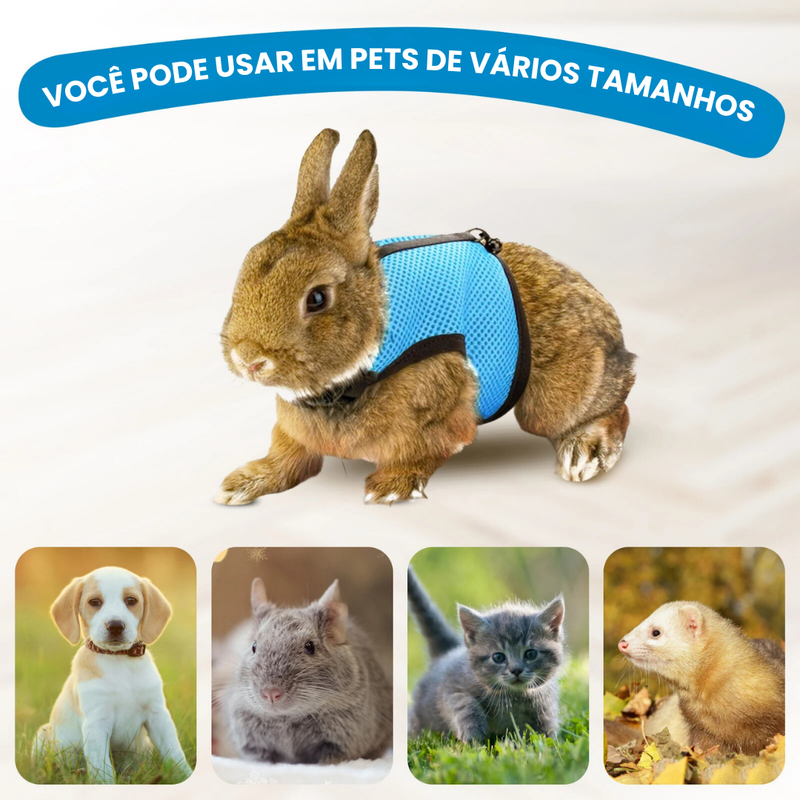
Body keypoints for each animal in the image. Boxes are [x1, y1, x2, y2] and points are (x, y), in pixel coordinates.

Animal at [215, 128, 635, 505]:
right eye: (245, 268)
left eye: (317, 298)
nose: (248, 359)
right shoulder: (294, 433)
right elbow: (286, 457)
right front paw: (240, 485)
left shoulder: (436, 412)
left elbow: (419, 454)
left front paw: (388, 489)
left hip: (550, 401)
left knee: (612, 407)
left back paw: (584, 455)